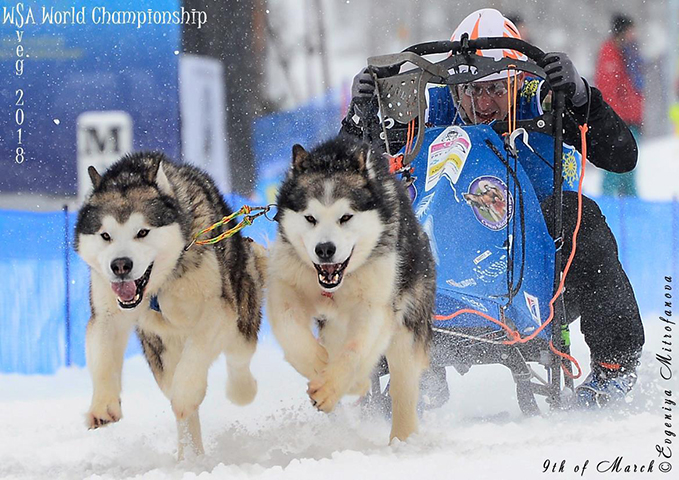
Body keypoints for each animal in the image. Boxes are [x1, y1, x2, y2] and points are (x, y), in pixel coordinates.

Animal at [75, 152, 266, 460]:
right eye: (105, 235)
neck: (161, 285)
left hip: (241, 320)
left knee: (238, 358)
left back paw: (241, 390)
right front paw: (103, 405)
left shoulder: (217, 310)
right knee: (176, 394)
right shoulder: (107, 314)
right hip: (160, 351)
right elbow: (103, 356)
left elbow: (195, 358)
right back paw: (190, 456)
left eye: (142, 232)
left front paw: (187, 394)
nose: (120, 265)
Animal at [266, 136, 436, 442]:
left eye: (345, 217)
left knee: (402, 384)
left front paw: (331, 386)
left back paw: (402, 437)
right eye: (310, 218)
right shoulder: (285, 285)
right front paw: (317, 363)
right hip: (334, 322)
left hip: (407, 323)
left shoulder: (375, 306)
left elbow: (355, 351)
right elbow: (290, 329)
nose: (325, 249)